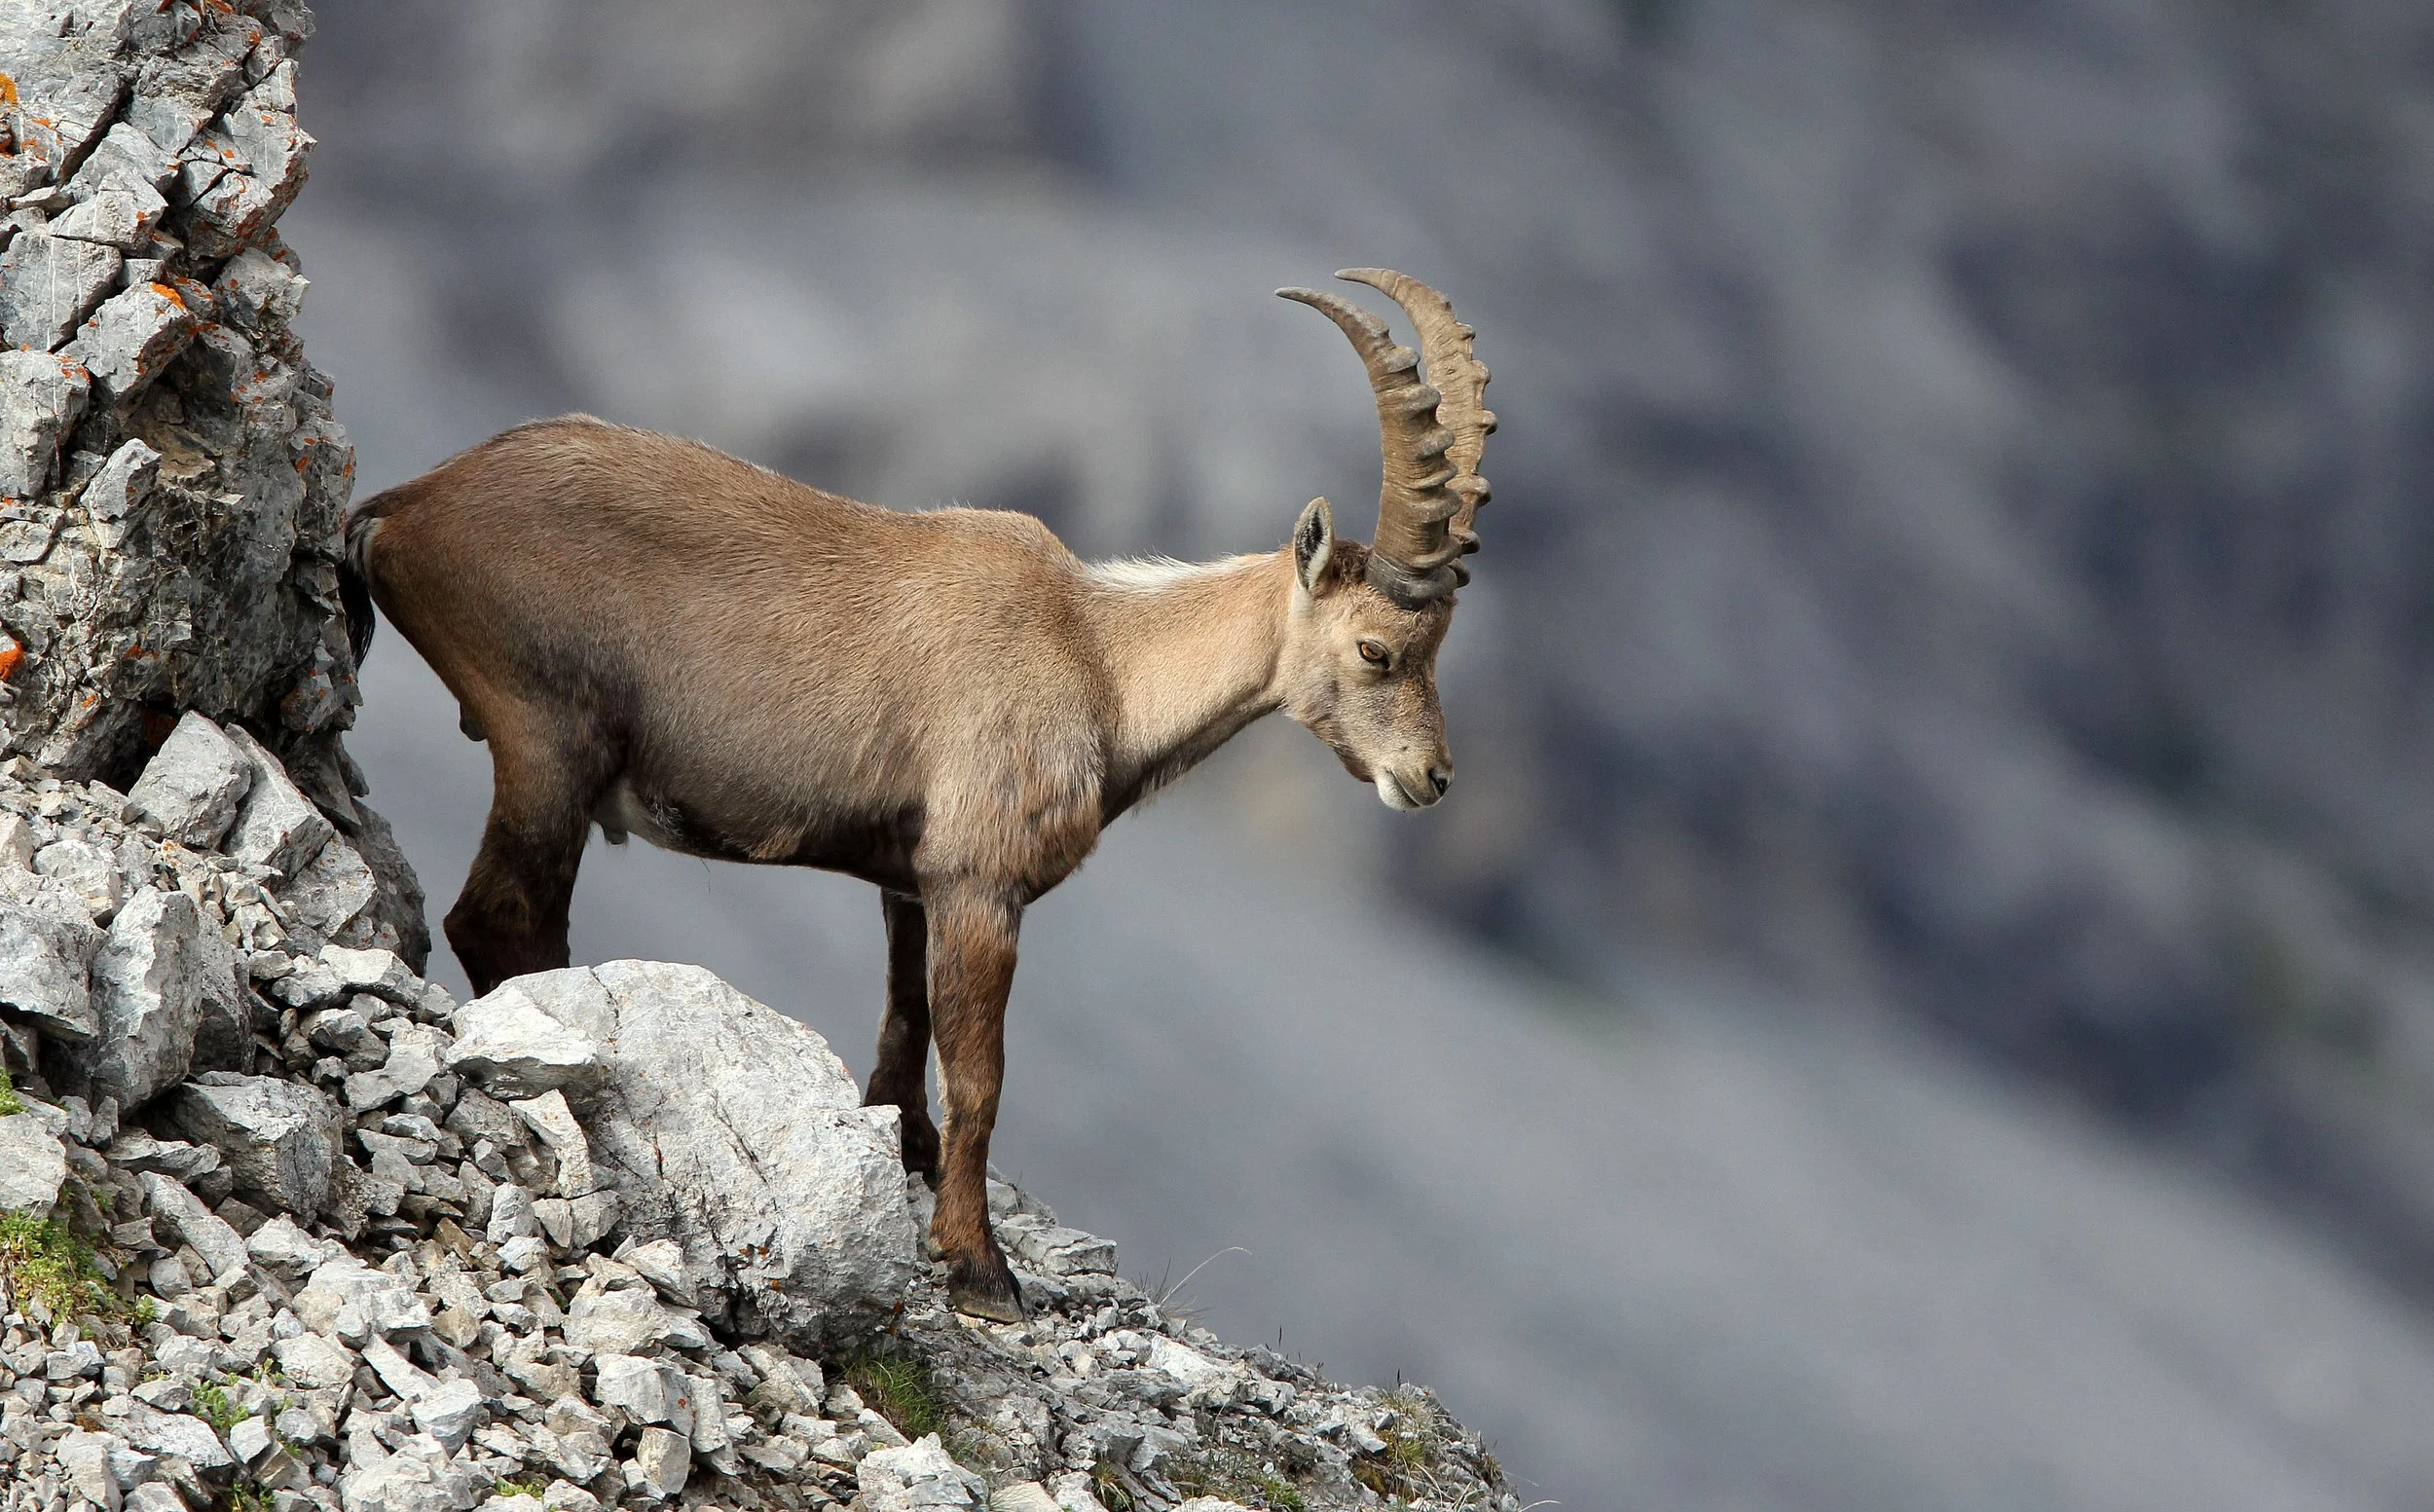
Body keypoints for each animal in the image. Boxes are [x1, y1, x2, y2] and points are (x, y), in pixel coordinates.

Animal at [342, 269, 1496, 1320]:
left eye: (1440, 649)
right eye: (1377, 648)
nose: (1431, 778)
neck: (1101, 662)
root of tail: (406, 505)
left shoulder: (911, 878)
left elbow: (903, 1027)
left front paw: (906, 1159)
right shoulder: (981, 883)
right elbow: (978, 1075)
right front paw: (980, 1268)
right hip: (549, 738)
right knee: (499, 916)